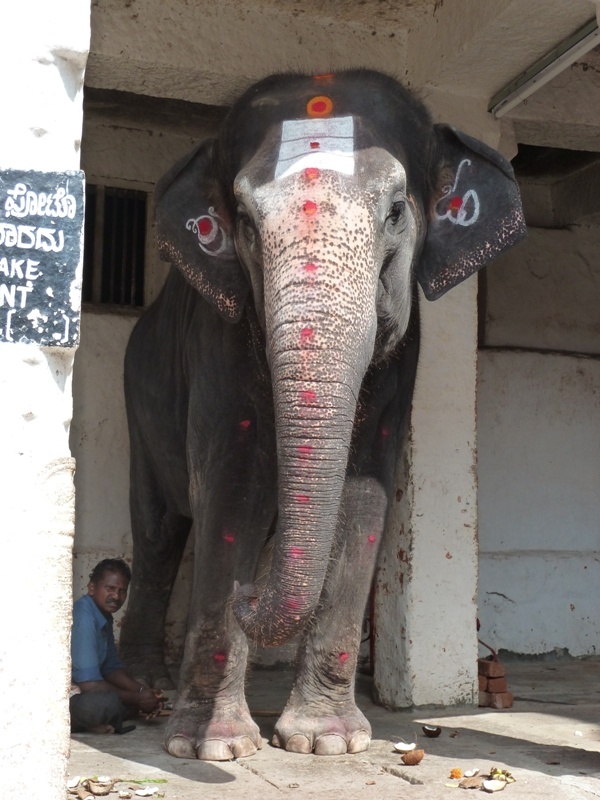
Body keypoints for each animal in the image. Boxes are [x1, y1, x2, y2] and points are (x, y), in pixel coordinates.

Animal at [122, 70, 524, 764]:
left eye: (397, 212)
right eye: (244, 222)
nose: (248, 593)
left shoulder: (402, 361)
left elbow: (364, 499)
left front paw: (326, 742)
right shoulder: (217, 341)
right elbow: (229, 494)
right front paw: (213, 749)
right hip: (136, 403)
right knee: (158, 533)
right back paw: (147, 689)